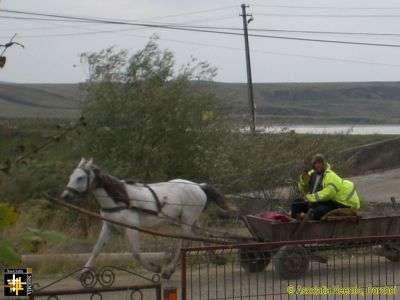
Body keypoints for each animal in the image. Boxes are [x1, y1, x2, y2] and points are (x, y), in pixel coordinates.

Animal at [60, 158, 234, 278]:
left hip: (187, 220)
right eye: (71, 176)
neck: (120, 198)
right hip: (190, 220)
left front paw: (155, 268)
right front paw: (84, 272)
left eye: (80, 178)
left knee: (184, 243)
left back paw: (168, 270)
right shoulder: (109, 225)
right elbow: (97, 249)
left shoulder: (131, 228)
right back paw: (216, 258)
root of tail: (199, 186)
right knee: (202, 235)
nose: (65, 196)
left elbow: (136, 253)